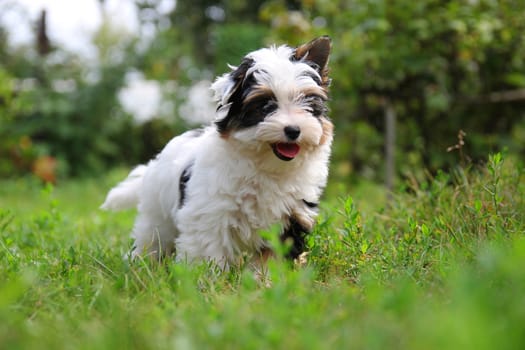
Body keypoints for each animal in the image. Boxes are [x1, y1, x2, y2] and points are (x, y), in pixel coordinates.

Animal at [101, 36, 334, 270]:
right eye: (266, 106)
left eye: (307, 103)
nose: (293, 130)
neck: (266, 166)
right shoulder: (210, 211)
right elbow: (207, 248)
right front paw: (205, 276)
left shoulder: (292, 215)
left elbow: (274, 254)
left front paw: (264, 277)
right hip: (157, 209)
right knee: (153, 235)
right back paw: (141, 261)